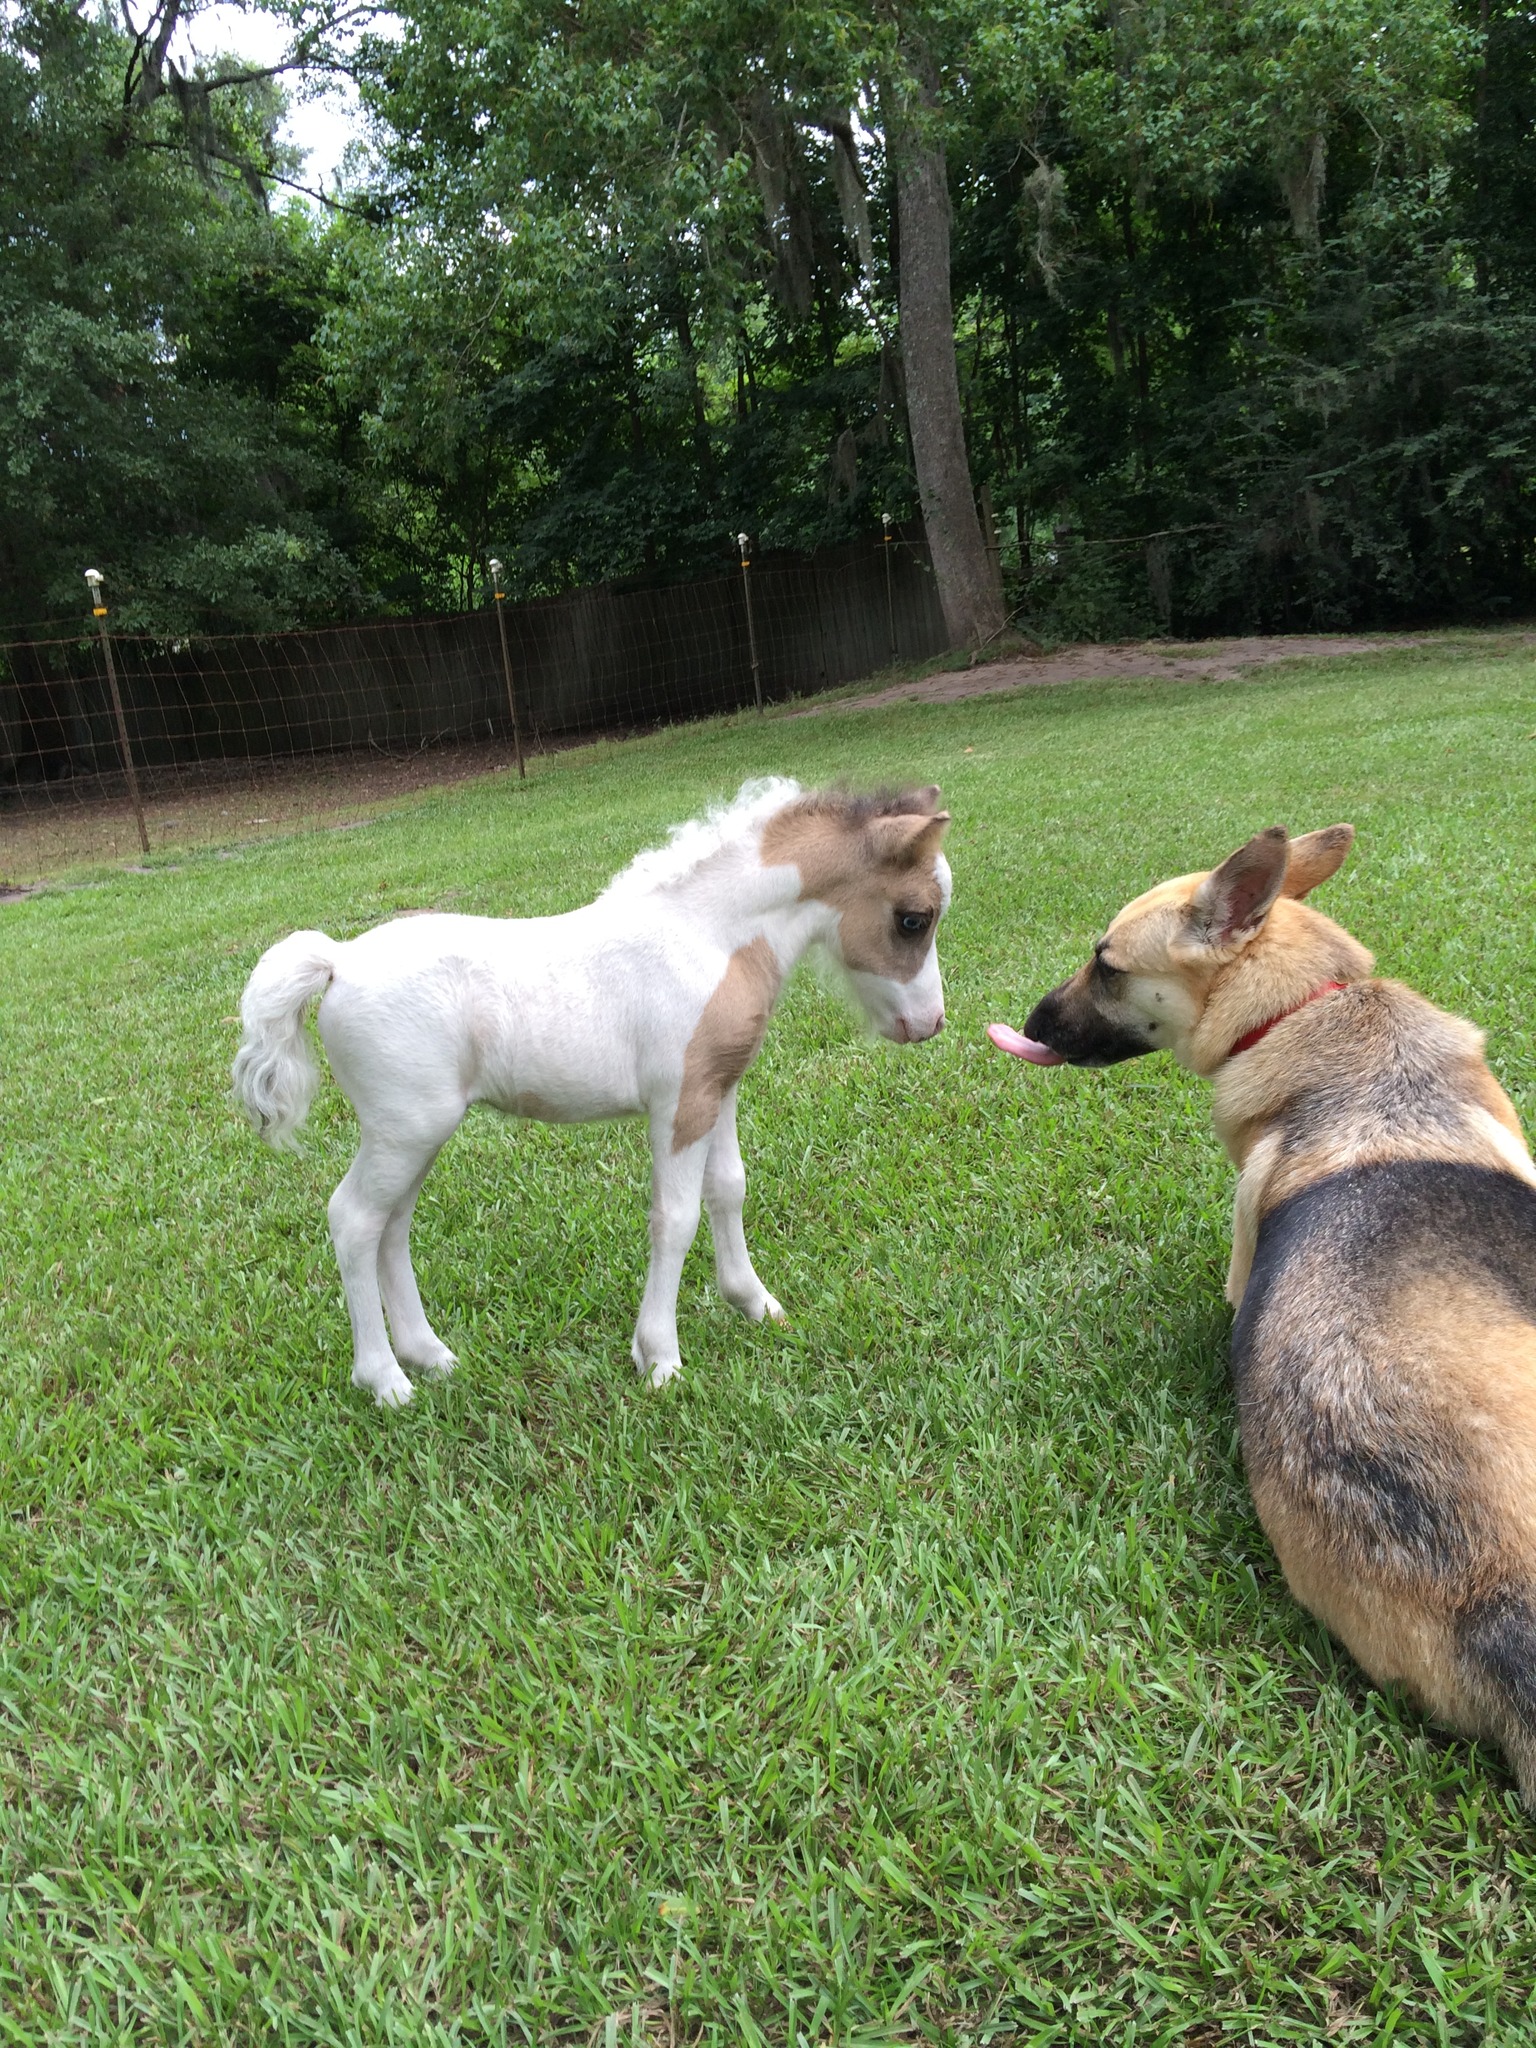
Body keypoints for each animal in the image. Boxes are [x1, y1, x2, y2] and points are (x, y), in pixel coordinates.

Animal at [232, 778, 952, 1405]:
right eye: (913, 919)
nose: (930, 1024)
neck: (708, 935)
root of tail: (339, 960)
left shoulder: (717, 1089)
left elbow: (729, 1189)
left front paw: (754, 1303)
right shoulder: (678, 1103)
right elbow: (675, 1218)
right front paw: (659, 1357)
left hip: (413, 1133)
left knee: (392, 1227)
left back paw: (430, 1356)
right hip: (407, 1128)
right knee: (355, 1220)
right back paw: (385, 1381)